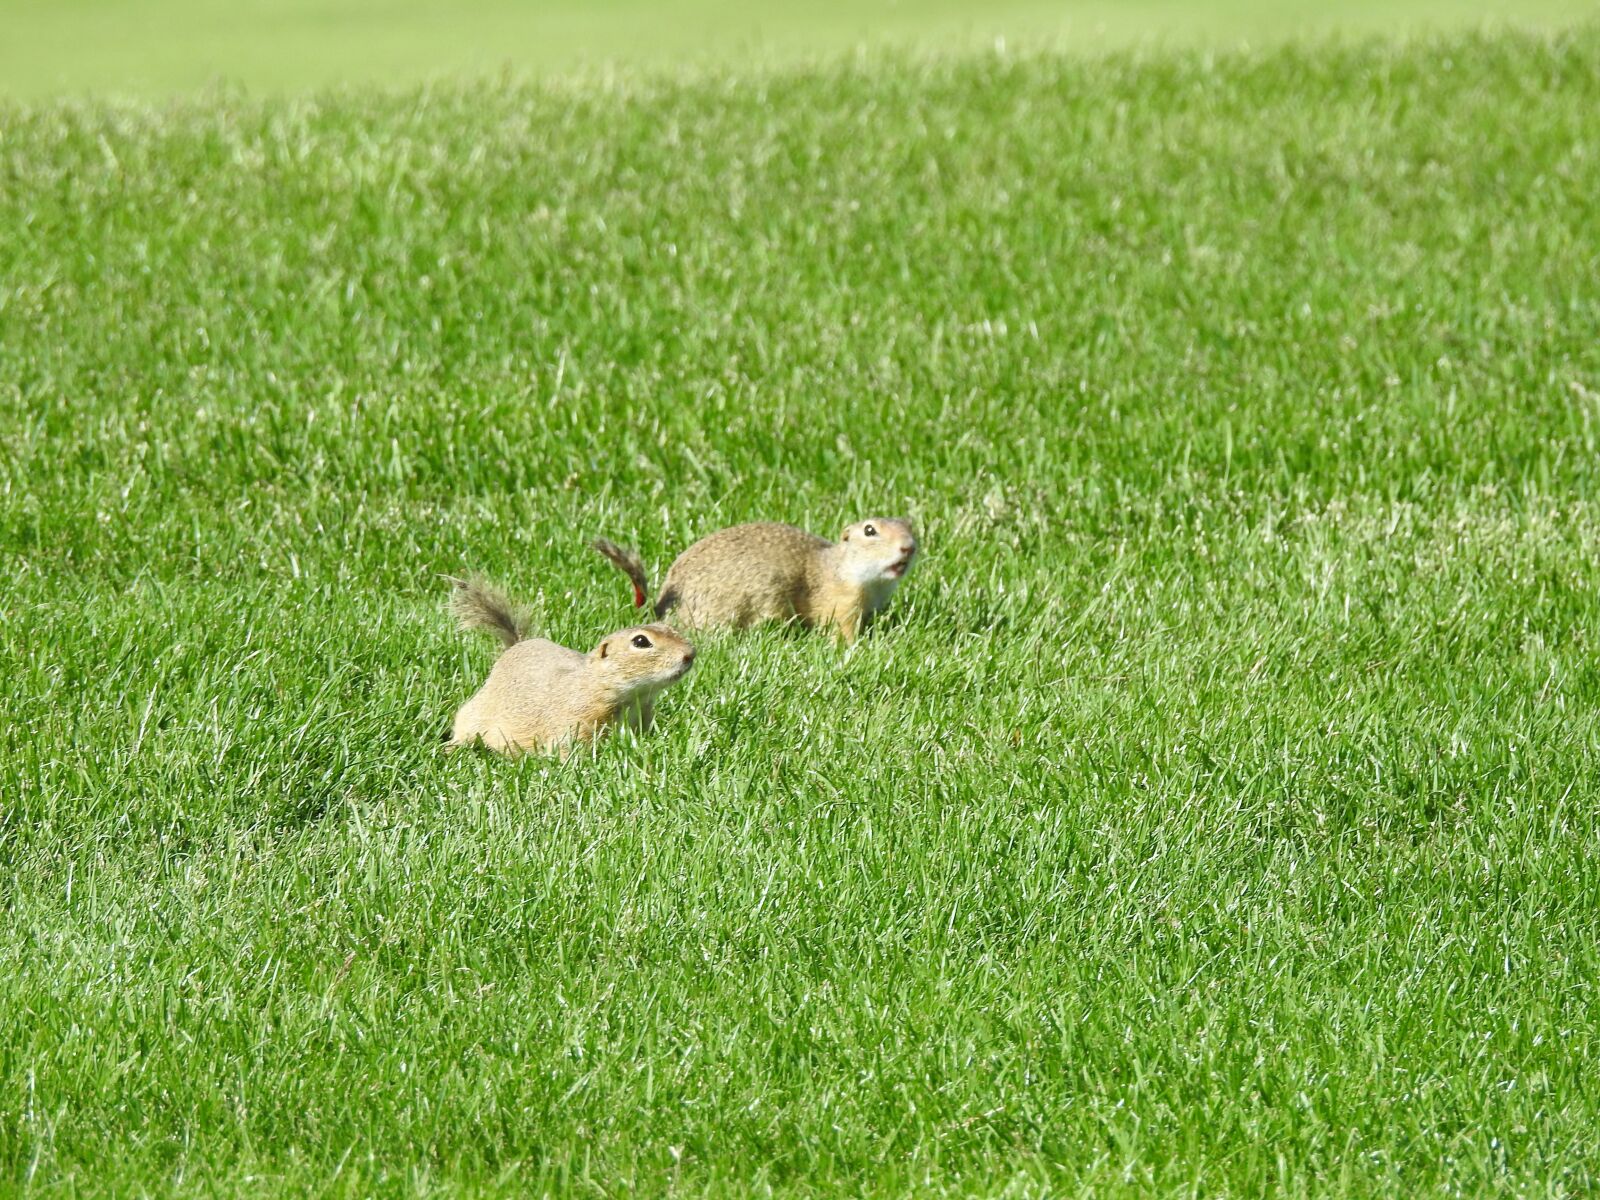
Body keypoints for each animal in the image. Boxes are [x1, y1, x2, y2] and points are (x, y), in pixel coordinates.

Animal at [591, 518, 918, 644]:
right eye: (870, 530)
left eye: (909, 525)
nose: (909, 546)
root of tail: (661, 607)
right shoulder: (843, 602)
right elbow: (843, 630)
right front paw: (857, 646)